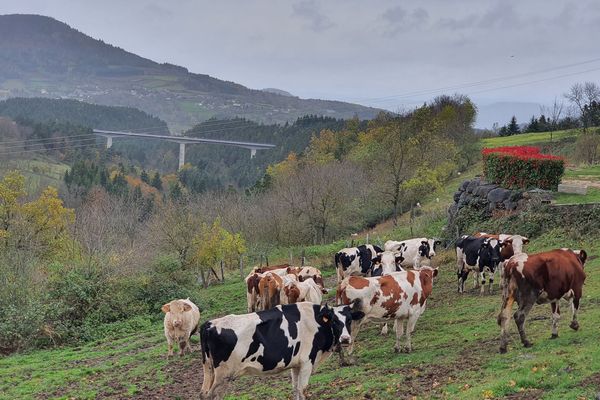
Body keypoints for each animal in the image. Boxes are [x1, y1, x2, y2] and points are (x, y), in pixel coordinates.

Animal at [200, 302, 366, 398]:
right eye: (334, 321)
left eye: (349, 320)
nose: (345, 339)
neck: (316, 321)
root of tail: (210, 324)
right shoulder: (307, 362)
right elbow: (303, 390)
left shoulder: (296, 365)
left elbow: (295, 389)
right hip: (223, 375)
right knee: (211, 396)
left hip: (209, 371)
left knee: (203, 394)